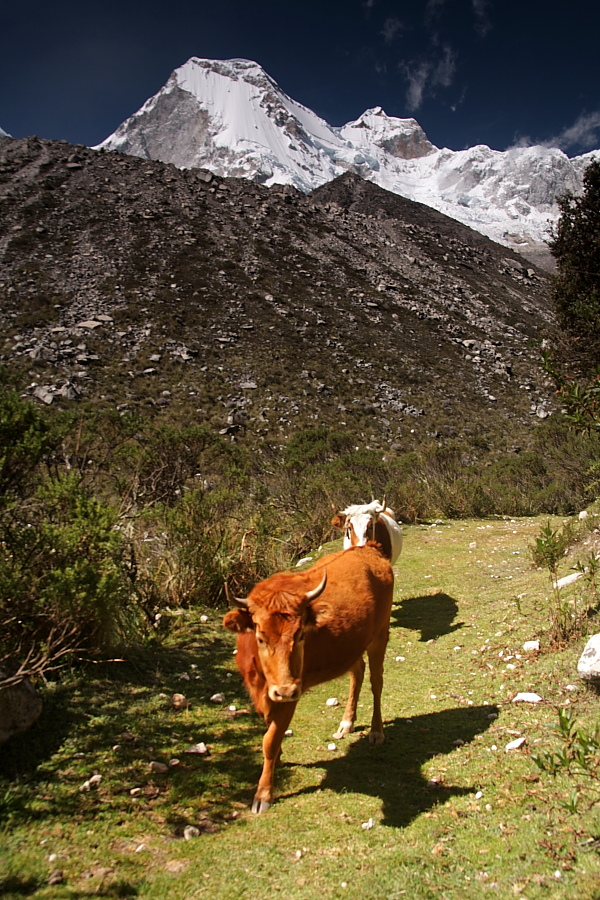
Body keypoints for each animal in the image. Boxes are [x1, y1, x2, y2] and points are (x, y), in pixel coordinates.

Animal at [221, 544, 394, 812]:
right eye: (260, 637)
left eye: (301, 634)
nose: (285, 690)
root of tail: (367, 549)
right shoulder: (263, 693)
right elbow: (269, 730)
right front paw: (279, 759)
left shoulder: (290, 696)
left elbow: (269, 741)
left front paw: (264, 793)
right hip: (352, 645)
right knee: (358, 672)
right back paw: (347, 722)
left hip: (380, 635)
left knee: (377, 682)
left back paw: (376, 731)